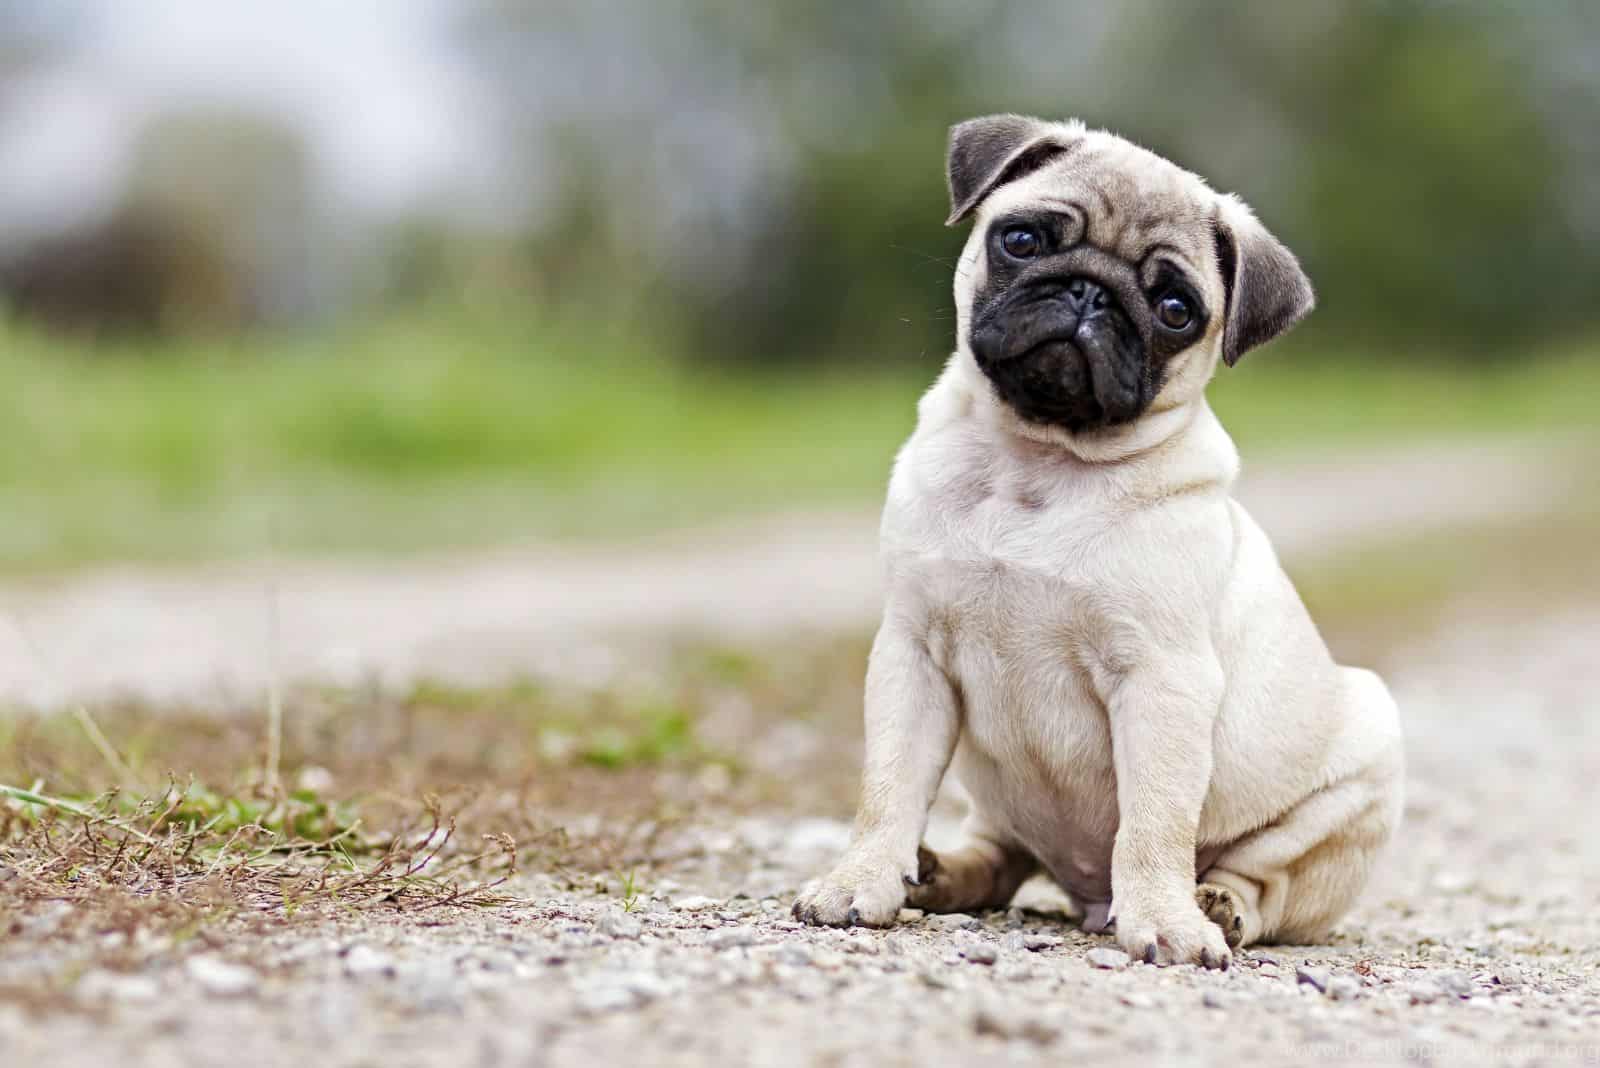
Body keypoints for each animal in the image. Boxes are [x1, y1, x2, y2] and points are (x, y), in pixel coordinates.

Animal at [793, 115, 1408, 965]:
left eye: (1176, 308)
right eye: (1021, 239)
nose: (1090, 291)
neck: (1038, 459)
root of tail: (1083, 896)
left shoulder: (1162, 681)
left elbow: (1154, 821)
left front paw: (1167, 921)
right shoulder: (912, 655)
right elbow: (888, 788)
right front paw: (863, 879)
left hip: (1365, 757)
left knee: (1266, 882)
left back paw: (1213, 905)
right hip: (998, 797)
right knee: (1000, 857)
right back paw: (938, 873)